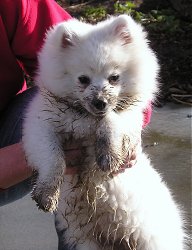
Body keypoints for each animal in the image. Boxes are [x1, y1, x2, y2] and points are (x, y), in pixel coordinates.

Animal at [22, 14, 186, 249]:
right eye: (83, 79)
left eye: (114, 77)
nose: (100, 103)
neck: (85, 116)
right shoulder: (40, 126)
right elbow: (53, 159)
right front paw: (47, 194)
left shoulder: (129, 117)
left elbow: (111, 120)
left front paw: (108, 154)